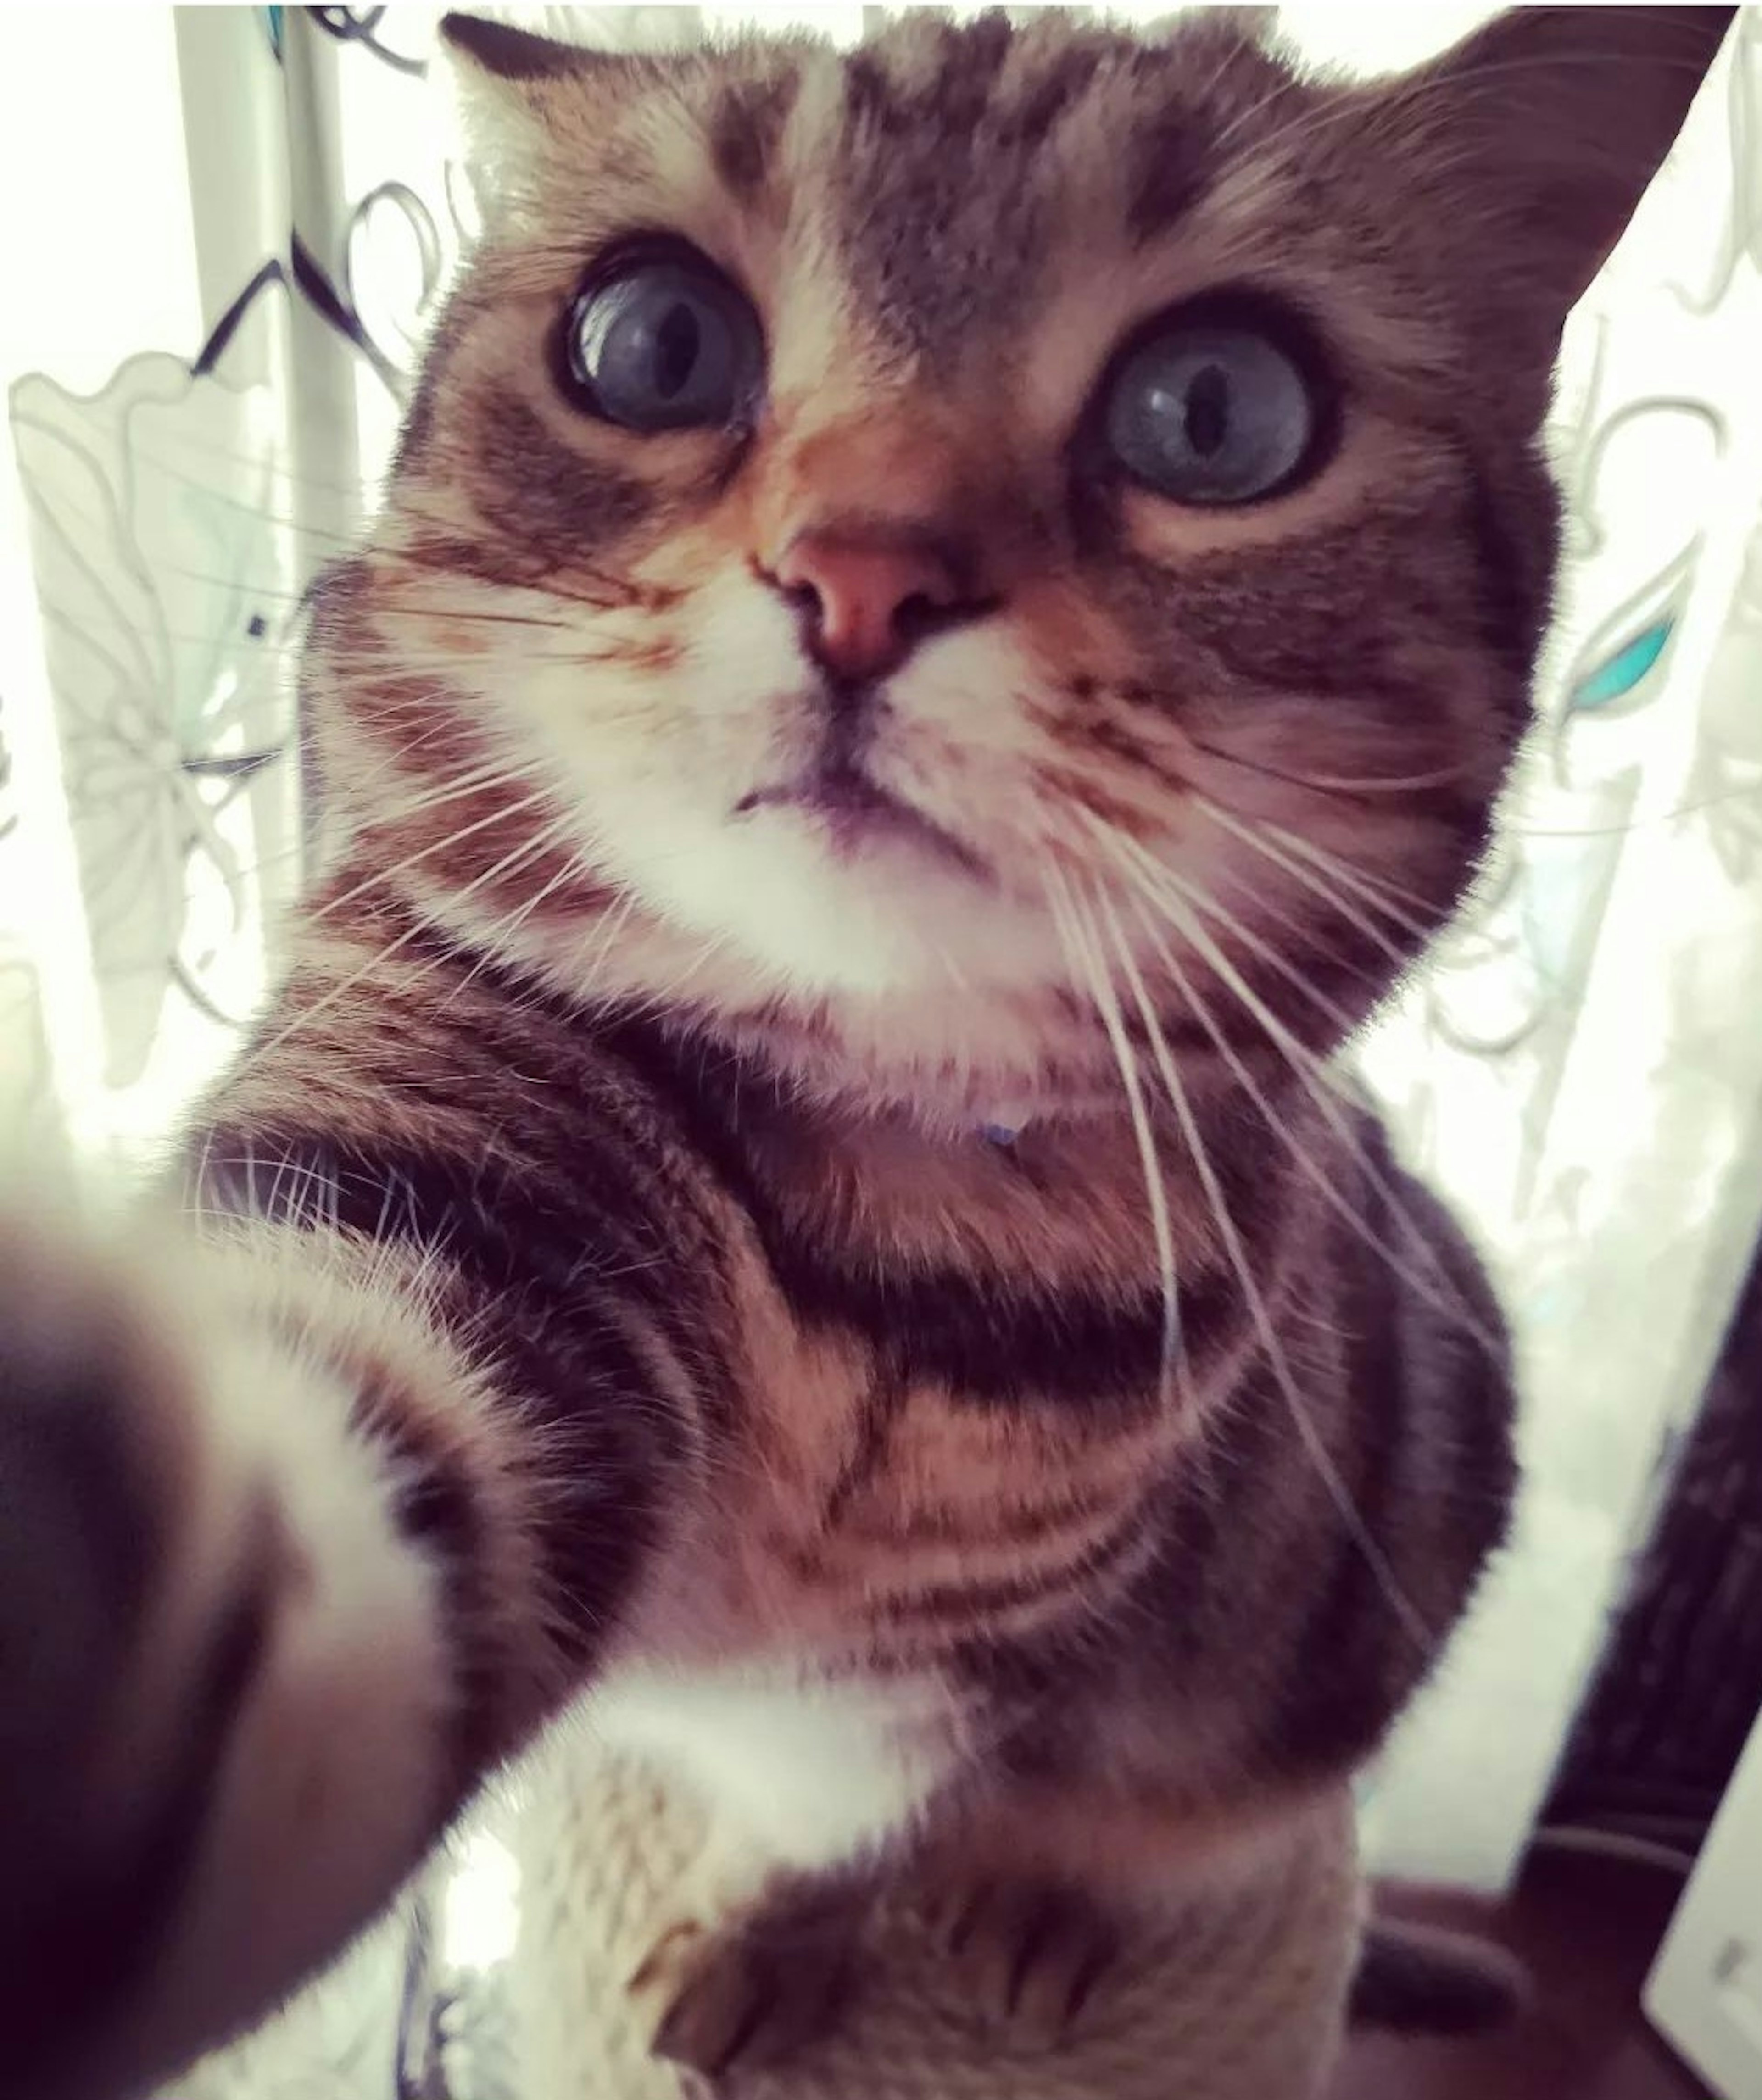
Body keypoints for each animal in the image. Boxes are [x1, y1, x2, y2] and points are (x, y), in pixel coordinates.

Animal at [0, 8, 1739, 2091]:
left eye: (1217, 409)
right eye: (651, 343)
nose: (862, 574)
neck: (878, 1222)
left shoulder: (920, 1701)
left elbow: (851, 1841)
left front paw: (784, 1944)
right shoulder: (433, 1150)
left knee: (1168, 1817)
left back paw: (1050, 1904)